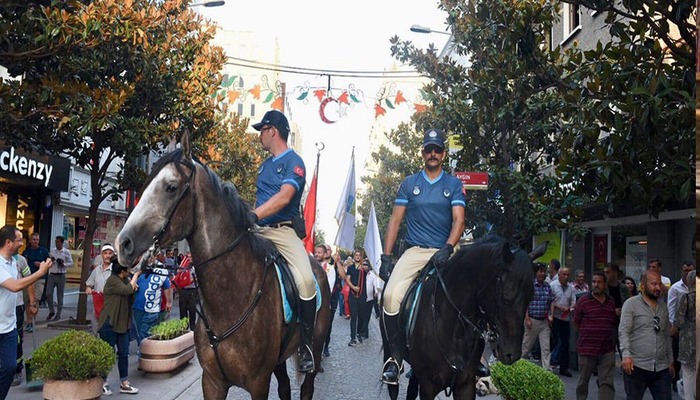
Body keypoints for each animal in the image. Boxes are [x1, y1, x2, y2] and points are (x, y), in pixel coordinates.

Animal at [115, 136, 330, 398]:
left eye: (171, 187)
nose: (123, 243)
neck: (231, 298)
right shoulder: (212, 381)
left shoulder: (259, 383)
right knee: (285, 386)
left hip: (314, 351)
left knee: (307, 385)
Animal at [382, 236, 548, 398]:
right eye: (506, 297)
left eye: (531, 298)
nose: (512, 354)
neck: (454, 328)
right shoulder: (428, 386)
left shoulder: (465, 384)